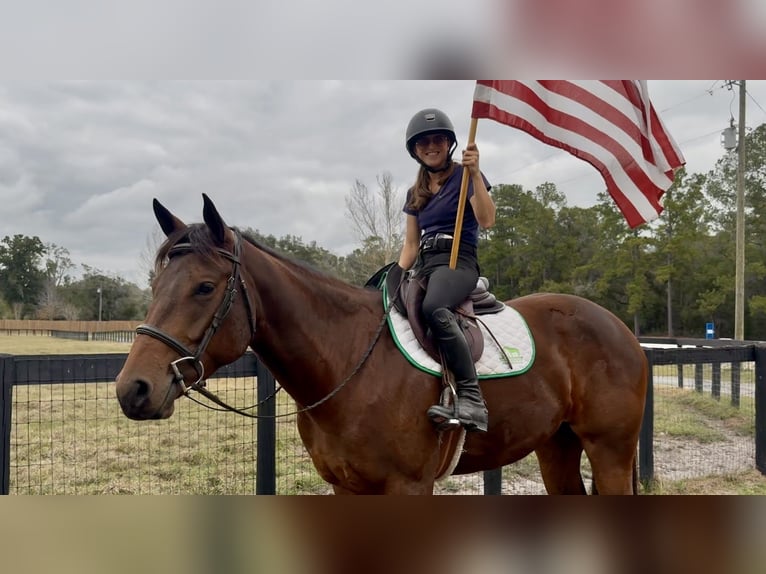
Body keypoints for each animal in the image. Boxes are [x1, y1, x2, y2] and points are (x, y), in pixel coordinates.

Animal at [116, 194, 648, 494]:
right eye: (155, 284)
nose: (133, 389)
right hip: (557, 445)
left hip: (610, 450)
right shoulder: (346, 488)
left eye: (204, 287)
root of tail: (621, 329)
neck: (348, 362)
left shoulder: (408, 487)